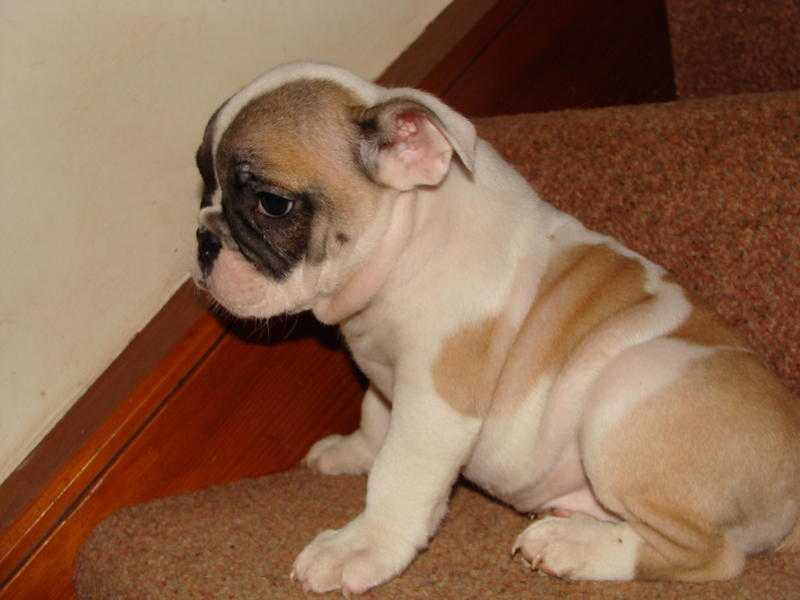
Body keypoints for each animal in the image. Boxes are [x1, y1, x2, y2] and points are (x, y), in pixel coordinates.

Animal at [195, 62, 800, 596]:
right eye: (203, 183)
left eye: (273, 204)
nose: (203, 240)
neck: (408, 234)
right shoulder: (386, 375)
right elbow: (373, 414)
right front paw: (352, 451)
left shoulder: (435, 401)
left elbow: (399, 475)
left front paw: (361, 546)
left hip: (628, 387)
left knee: (712, 555)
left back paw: (569, 546)